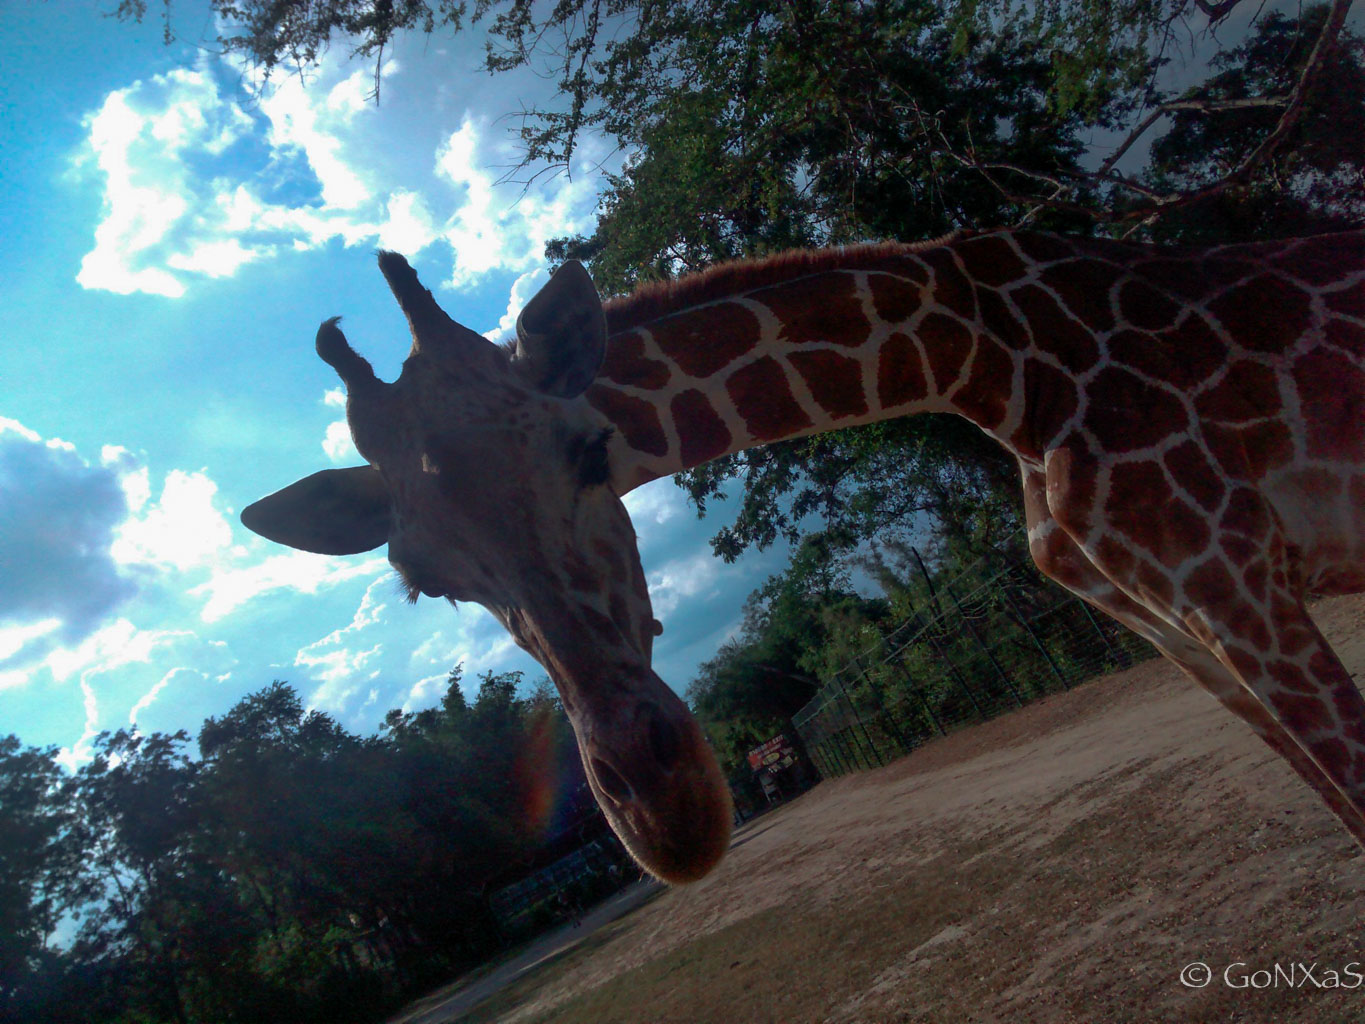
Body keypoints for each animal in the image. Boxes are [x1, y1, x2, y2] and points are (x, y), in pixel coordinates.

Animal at [242, 228, 1365, 883]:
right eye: (422, 582)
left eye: (594, 450)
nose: (670, 820)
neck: (992, 362)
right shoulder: (1164, 615)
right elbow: (1328, 801)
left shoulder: (1229, 582)